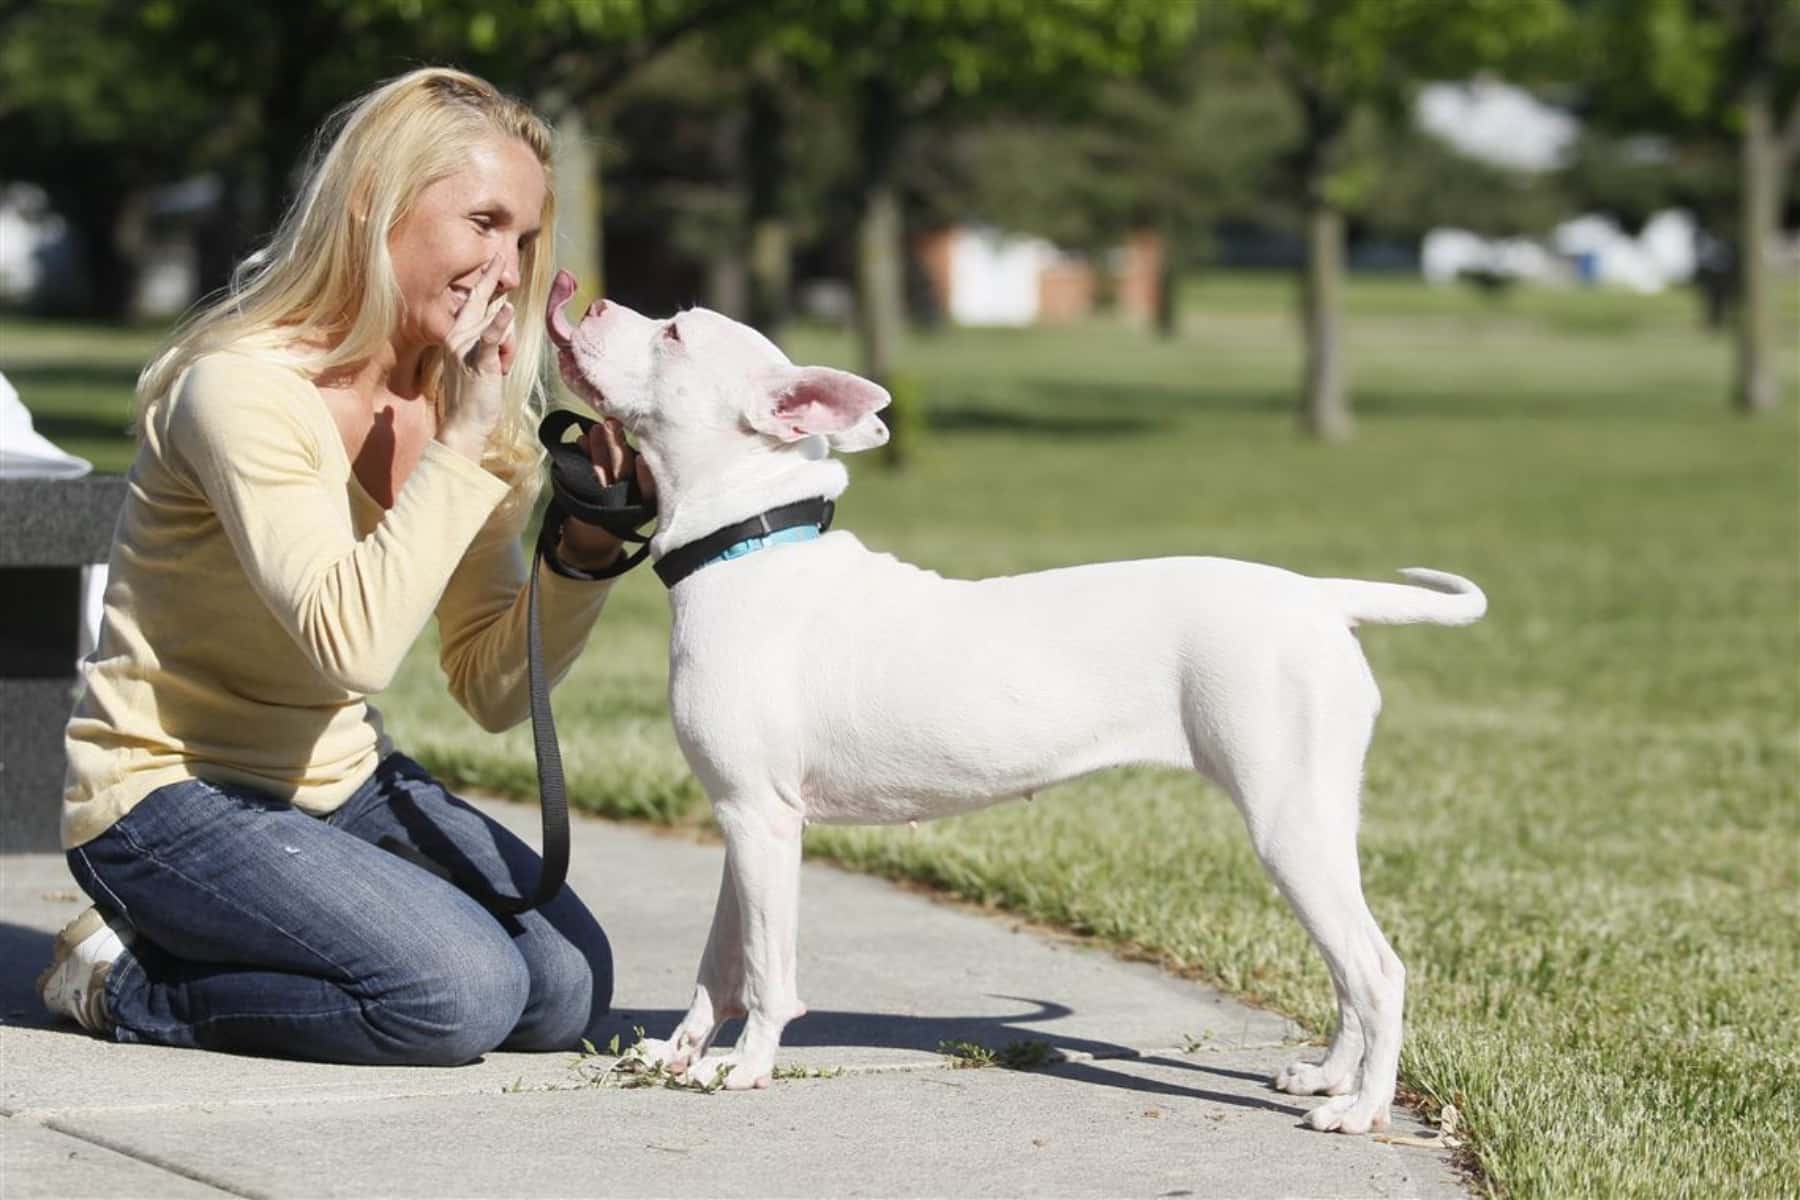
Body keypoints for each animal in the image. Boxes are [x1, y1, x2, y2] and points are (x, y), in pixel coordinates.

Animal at [550, 271, 1490, 1137]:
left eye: (674, 332)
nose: (580, 296)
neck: (747, 545)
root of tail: (1319, 597)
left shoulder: (761, 820)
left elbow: (765, 970)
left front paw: (745, 1068)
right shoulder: (742, 820)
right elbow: (720, 960)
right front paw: (680, 1053)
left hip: (1287, 820)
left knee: (1376, 969)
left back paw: (1361, 1107)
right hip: (1320, 818)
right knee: (1347, 962)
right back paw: (1328, 1076)